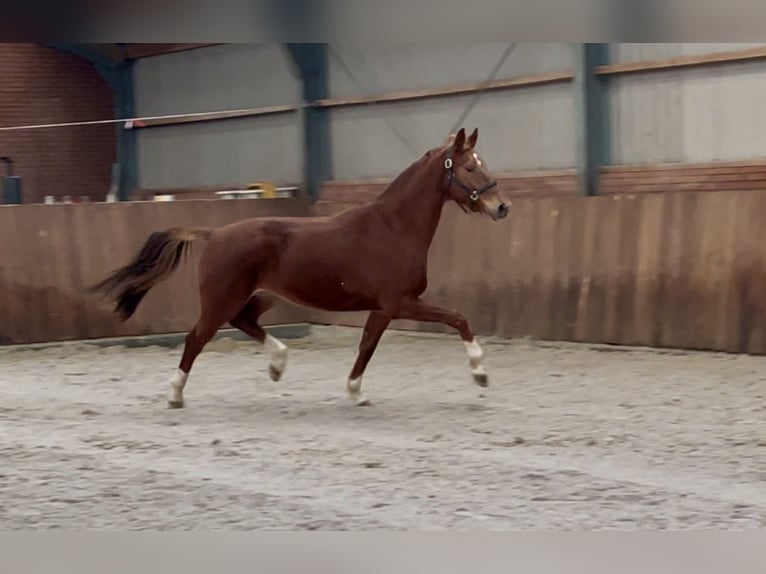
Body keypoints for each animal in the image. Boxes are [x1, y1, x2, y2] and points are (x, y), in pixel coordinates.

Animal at [93, 129, 510, 410]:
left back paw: (278, 365)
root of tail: (213, 234)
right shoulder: (400, 302)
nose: (502, 207)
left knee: (245, 321)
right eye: (469, 167)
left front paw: (355, 393)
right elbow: (457, 318)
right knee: (196, 338)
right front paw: (480, 373)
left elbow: (366, 347)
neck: (393, 228)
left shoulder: (382, 308)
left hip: (263, 296)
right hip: (220, 300)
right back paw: (176, 394)